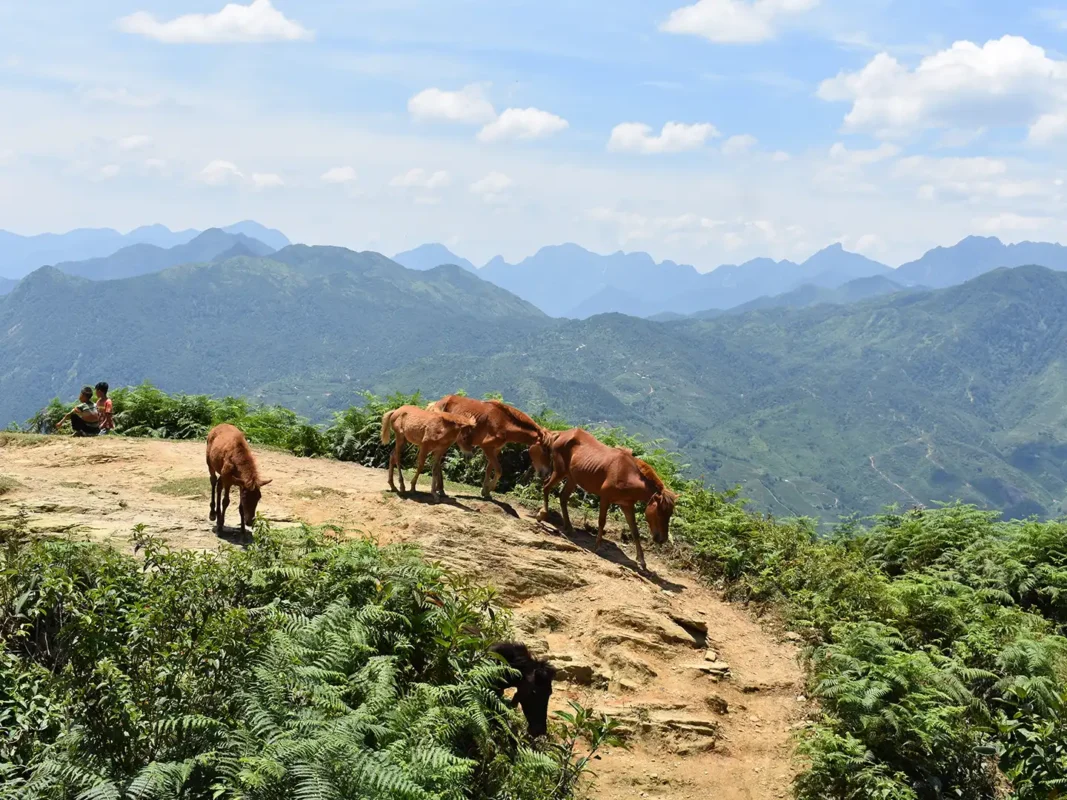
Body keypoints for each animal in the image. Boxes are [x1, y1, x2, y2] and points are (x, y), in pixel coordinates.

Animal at [531, 428, 674, 571]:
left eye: (669, 514)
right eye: (659, 513)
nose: (662, 539)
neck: (627, 474)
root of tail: (562, 433)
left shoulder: (626, 505)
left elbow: (635, 531)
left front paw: (642, 561)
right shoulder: (605, 499)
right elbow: (602, 522)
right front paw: (597, 547)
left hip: (572, 478)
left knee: (563, 498)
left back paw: (569, 528)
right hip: (560, 472)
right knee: (546, 487)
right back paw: (543, 514)